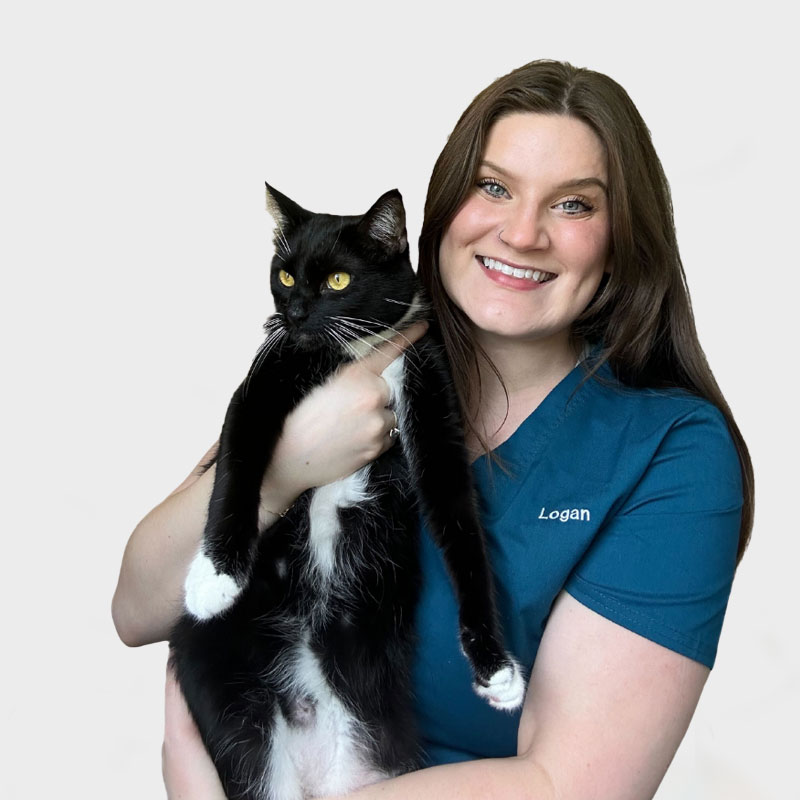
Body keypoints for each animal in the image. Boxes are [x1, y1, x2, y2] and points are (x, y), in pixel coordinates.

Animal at [169, 186, 524, 800]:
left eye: (337, 280)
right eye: (285, 275)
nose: (294, 312)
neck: (353, 356)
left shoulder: (429, 390)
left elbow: (459, 521)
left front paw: (494, 665)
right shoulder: (265, 379)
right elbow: (237, 464)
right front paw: (215, 578)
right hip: (229, 693)